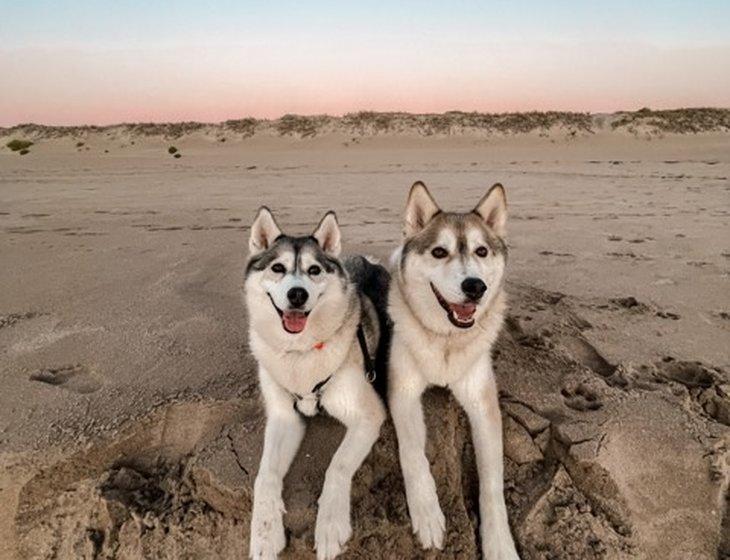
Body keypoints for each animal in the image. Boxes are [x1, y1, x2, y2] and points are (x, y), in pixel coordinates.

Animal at [243, 208, 386, 556]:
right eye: (278, 268)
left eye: (314, 270)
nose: (297, 294)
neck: (300, 352)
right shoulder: (284, 417)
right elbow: (264, 475)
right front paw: (264, 533)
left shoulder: (368, 414)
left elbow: (337, 465)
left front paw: (330, 526)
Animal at [386, 182, 516, 556]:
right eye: (439, 252)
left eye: (481, 250)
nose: (475, 286)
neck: (445, 340)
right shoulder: (402, 393)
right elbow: (413, 454)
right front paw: (427, 514)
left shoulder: (484, 406)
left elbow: (492, 482)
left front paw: (500, 543)